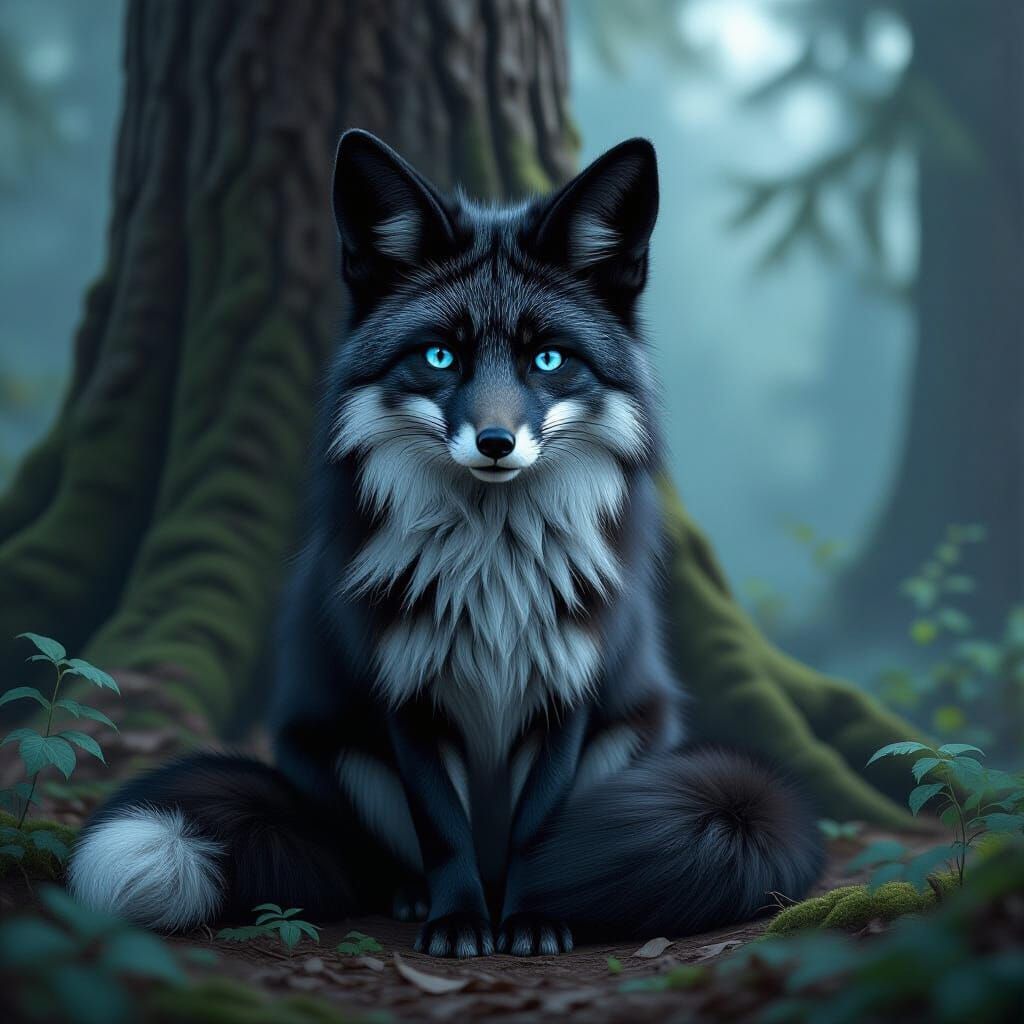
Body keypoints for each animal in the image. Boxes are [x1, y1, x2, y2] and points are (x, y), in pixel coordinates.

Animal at [68, 130, 823, 957]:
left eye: (547, 359)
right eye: (440, 357)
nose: (494, 443)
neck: (494, 578)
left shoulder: (568, 696)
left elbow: (537, 831)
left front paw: (531, 919)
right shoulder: (407, 693)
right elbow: (443, 830)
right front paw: (459, 922)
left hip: (631, 735)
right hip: (334, 749)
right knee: (380, 857)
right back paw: (414, 897)